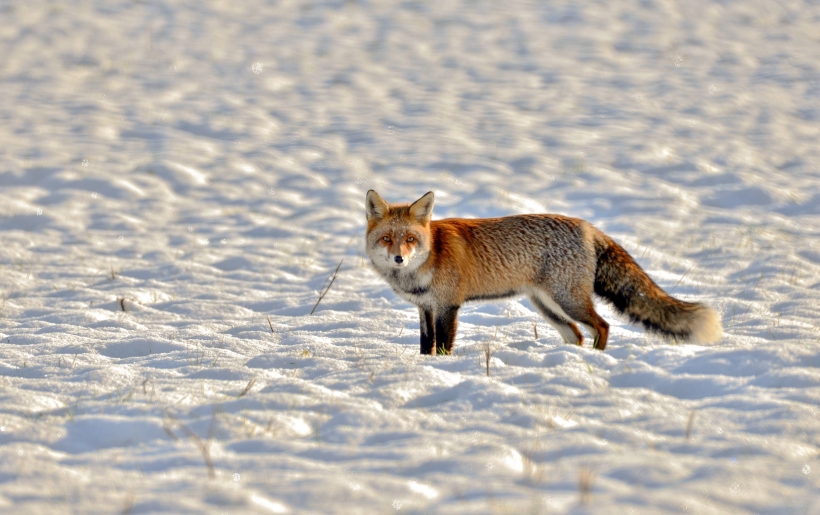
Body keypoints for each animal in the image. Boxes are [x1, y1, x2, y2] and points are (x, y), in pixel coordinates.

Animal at [362, 189, 720, 354]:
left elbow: (442, 348)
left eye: (410, 239)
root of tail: (587, 227)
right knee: (576, 333)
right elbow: (426, 347)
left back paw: (596, 359)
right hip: (546, 305)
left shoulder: (448, 306)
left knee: (602, 326)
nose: (399, 259)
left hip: (567, 300)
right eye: (387, 239)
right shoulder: (426, 308)